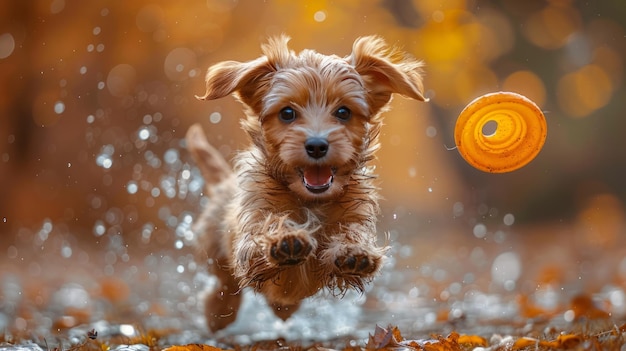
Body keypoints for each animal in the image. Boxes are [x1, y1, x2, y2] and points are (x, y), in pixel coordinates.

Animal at [185, 34, 424, 332]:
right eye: (287, 113)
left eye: (343, 112)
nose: (317, 145)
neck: (311, 201)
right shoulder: (252, 225)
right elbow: (261, 233)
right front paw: (284, 239)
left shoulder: (355, 214)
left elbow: (352, 232)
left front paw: (353, 251)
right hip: (213, 249)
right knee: (224, 283)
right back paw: (219, 311)